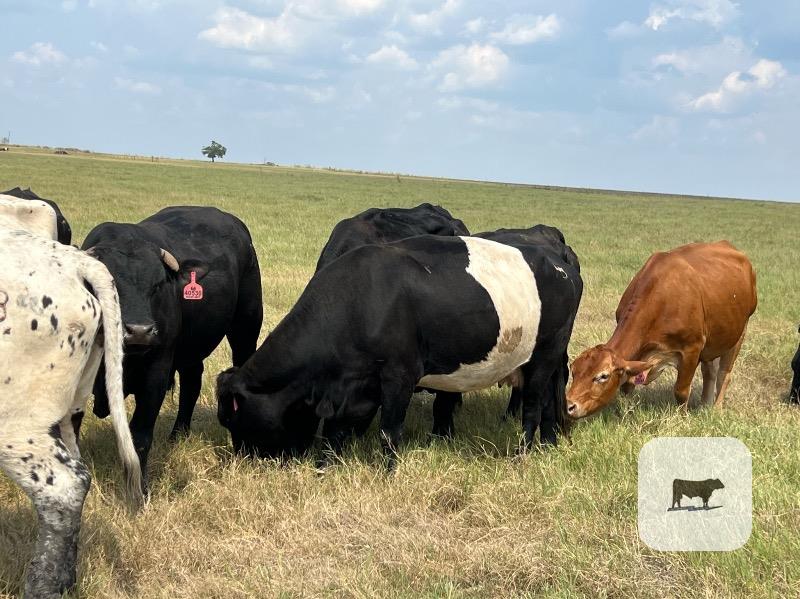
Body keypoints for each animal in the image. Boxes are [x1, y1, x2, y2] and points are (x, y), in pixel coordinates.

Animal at [82, 206, 263, 488]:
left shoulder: (156, 374)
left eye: (157, 285)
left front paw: (140, 488)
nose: (140, 331)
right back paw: (178, 434)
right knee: (192, 382)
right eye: (110, 287)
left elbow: (140, 436)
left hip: (245, 328)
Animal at [216, 234, 582, 469]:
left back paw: (522, 454)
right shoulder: (355, 386)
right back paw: (548, 444)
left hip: (544, 354)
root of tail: (560, 261)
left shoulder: (399, 375)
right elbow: (336, 430)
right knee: (548, 402)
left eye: (233, 417)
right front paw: (325, 466)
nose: (241, 462)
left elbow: (389, 430)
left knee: (532, 406)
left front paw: (386, 471)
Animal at [566, 241, 757, 419]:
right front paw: (625, 412)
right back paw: (705, 405)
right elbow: (627, 386)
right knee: (709, 371)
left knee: (724, 374)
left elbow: (681, 391)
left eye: (602, 376)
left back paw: (716, 409)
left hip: (740, 331)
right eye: (573, 371)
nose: (569, 405)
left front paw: (682, 418)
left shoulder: (692, 348)